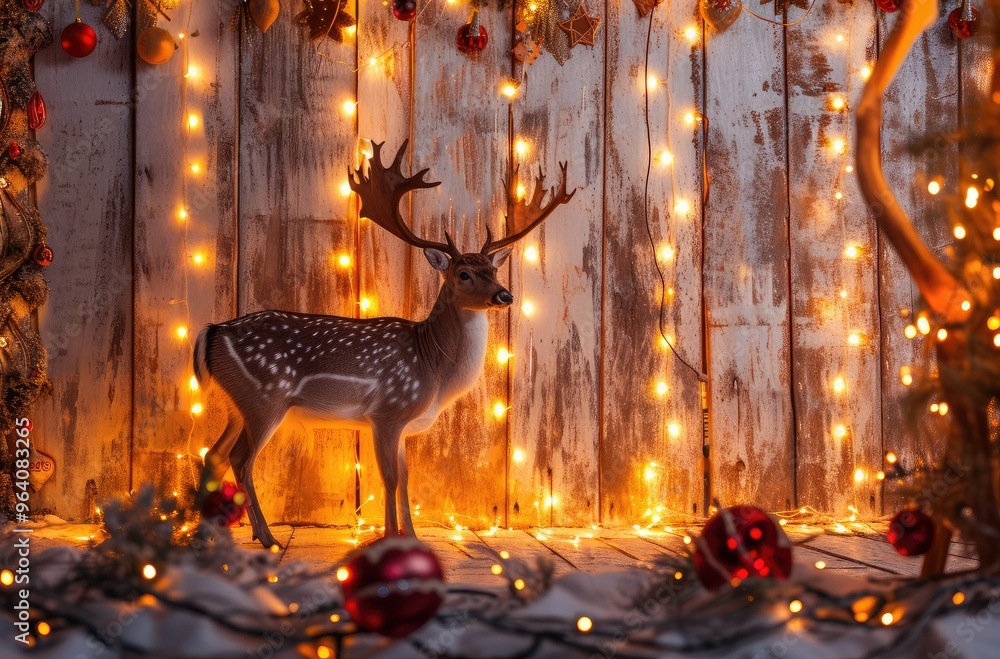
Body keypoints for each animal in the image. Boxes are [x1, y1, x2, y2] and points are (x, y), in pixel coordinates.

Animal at [193, 140, 575, 548]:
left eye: (494, 269)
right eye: (463, 273)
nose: (505, 295)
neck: (432, 367)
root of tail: (212, 331)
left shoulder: (403, 424)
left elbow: (405, 478)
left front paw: (412, 536)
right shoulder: (388, 411)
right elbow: (389, 479)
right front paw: (392, 538)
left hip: (237, 404)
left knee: (213, 454)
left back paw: (211, 536)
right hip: (264, 398)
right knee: (240, 459)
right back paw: (266, 539)